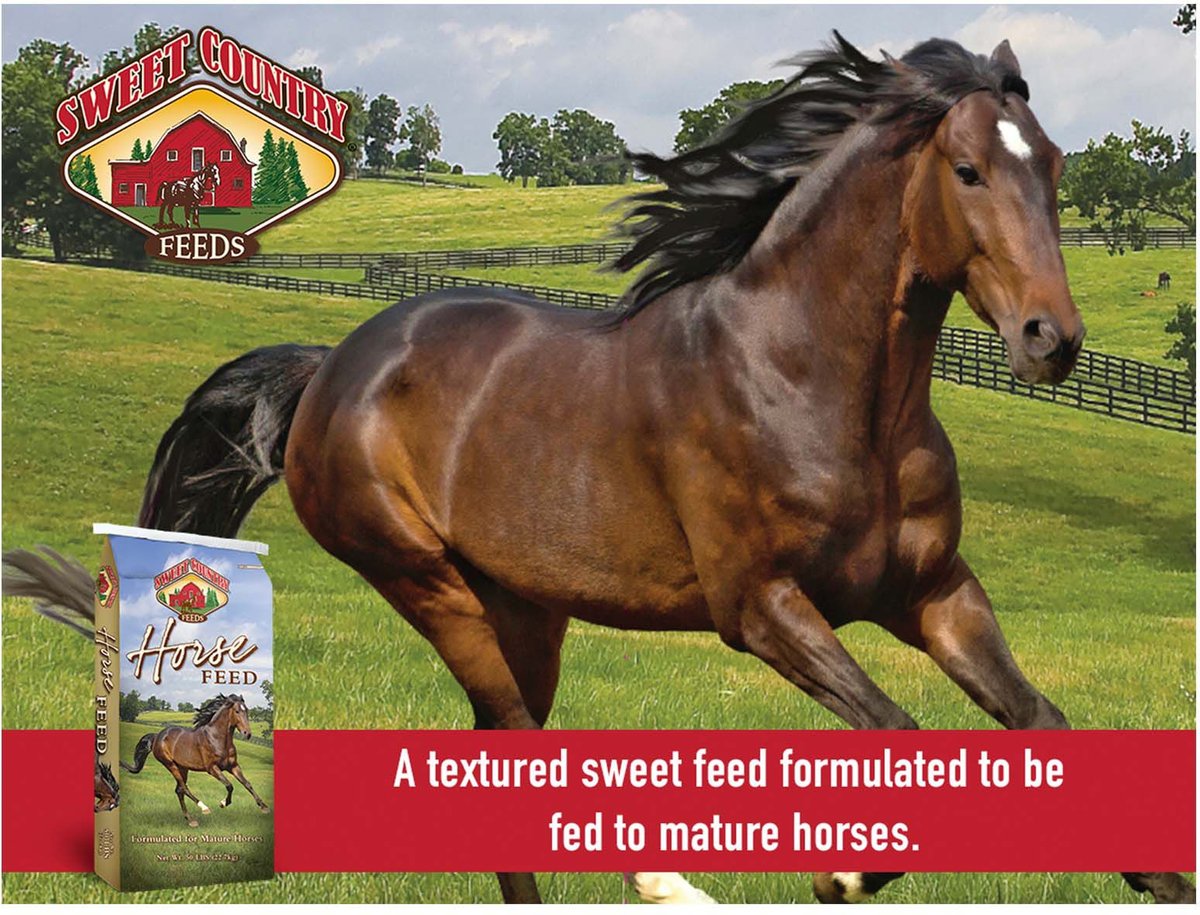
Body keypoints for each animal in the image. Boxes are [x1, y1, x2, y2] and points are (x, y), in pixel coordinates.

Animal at [119, 694, 268, 827]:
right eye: (237, 711)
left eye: (247, 710)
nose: (247, 734)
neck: (217, 739)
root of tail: (157, 736)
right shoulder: (212, 768)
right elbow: (229, 785)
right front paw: (223, 803)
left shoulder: (233, 766)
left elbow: (247, 784)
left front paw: (264, 807)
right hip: (170, 765)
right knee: (184, 788)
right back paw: (204, 808)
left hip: (182, 767)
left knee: (179, 790)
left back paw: (191, 820)